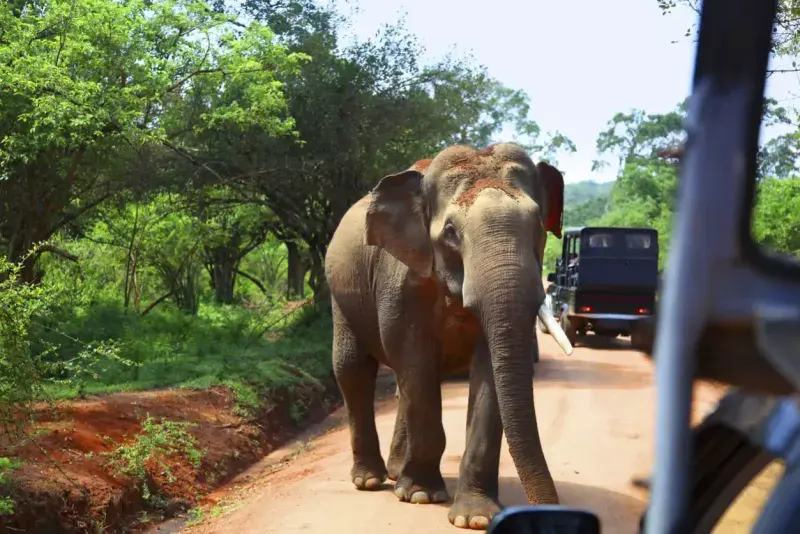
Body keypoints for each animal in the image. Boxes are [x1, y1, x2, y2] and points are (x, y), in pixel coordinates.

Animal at [324, 143, 573, 530]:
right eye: (452, 232)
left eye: (537, 224)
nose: (549, 511)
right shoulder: (400, 280)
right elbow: (414, 361)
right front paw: (422, 496)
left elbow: (486, 371)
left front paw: (476, 517)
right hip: (342, 294)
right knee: (354, 369)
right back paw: (370, 480)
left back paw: (397, 472)